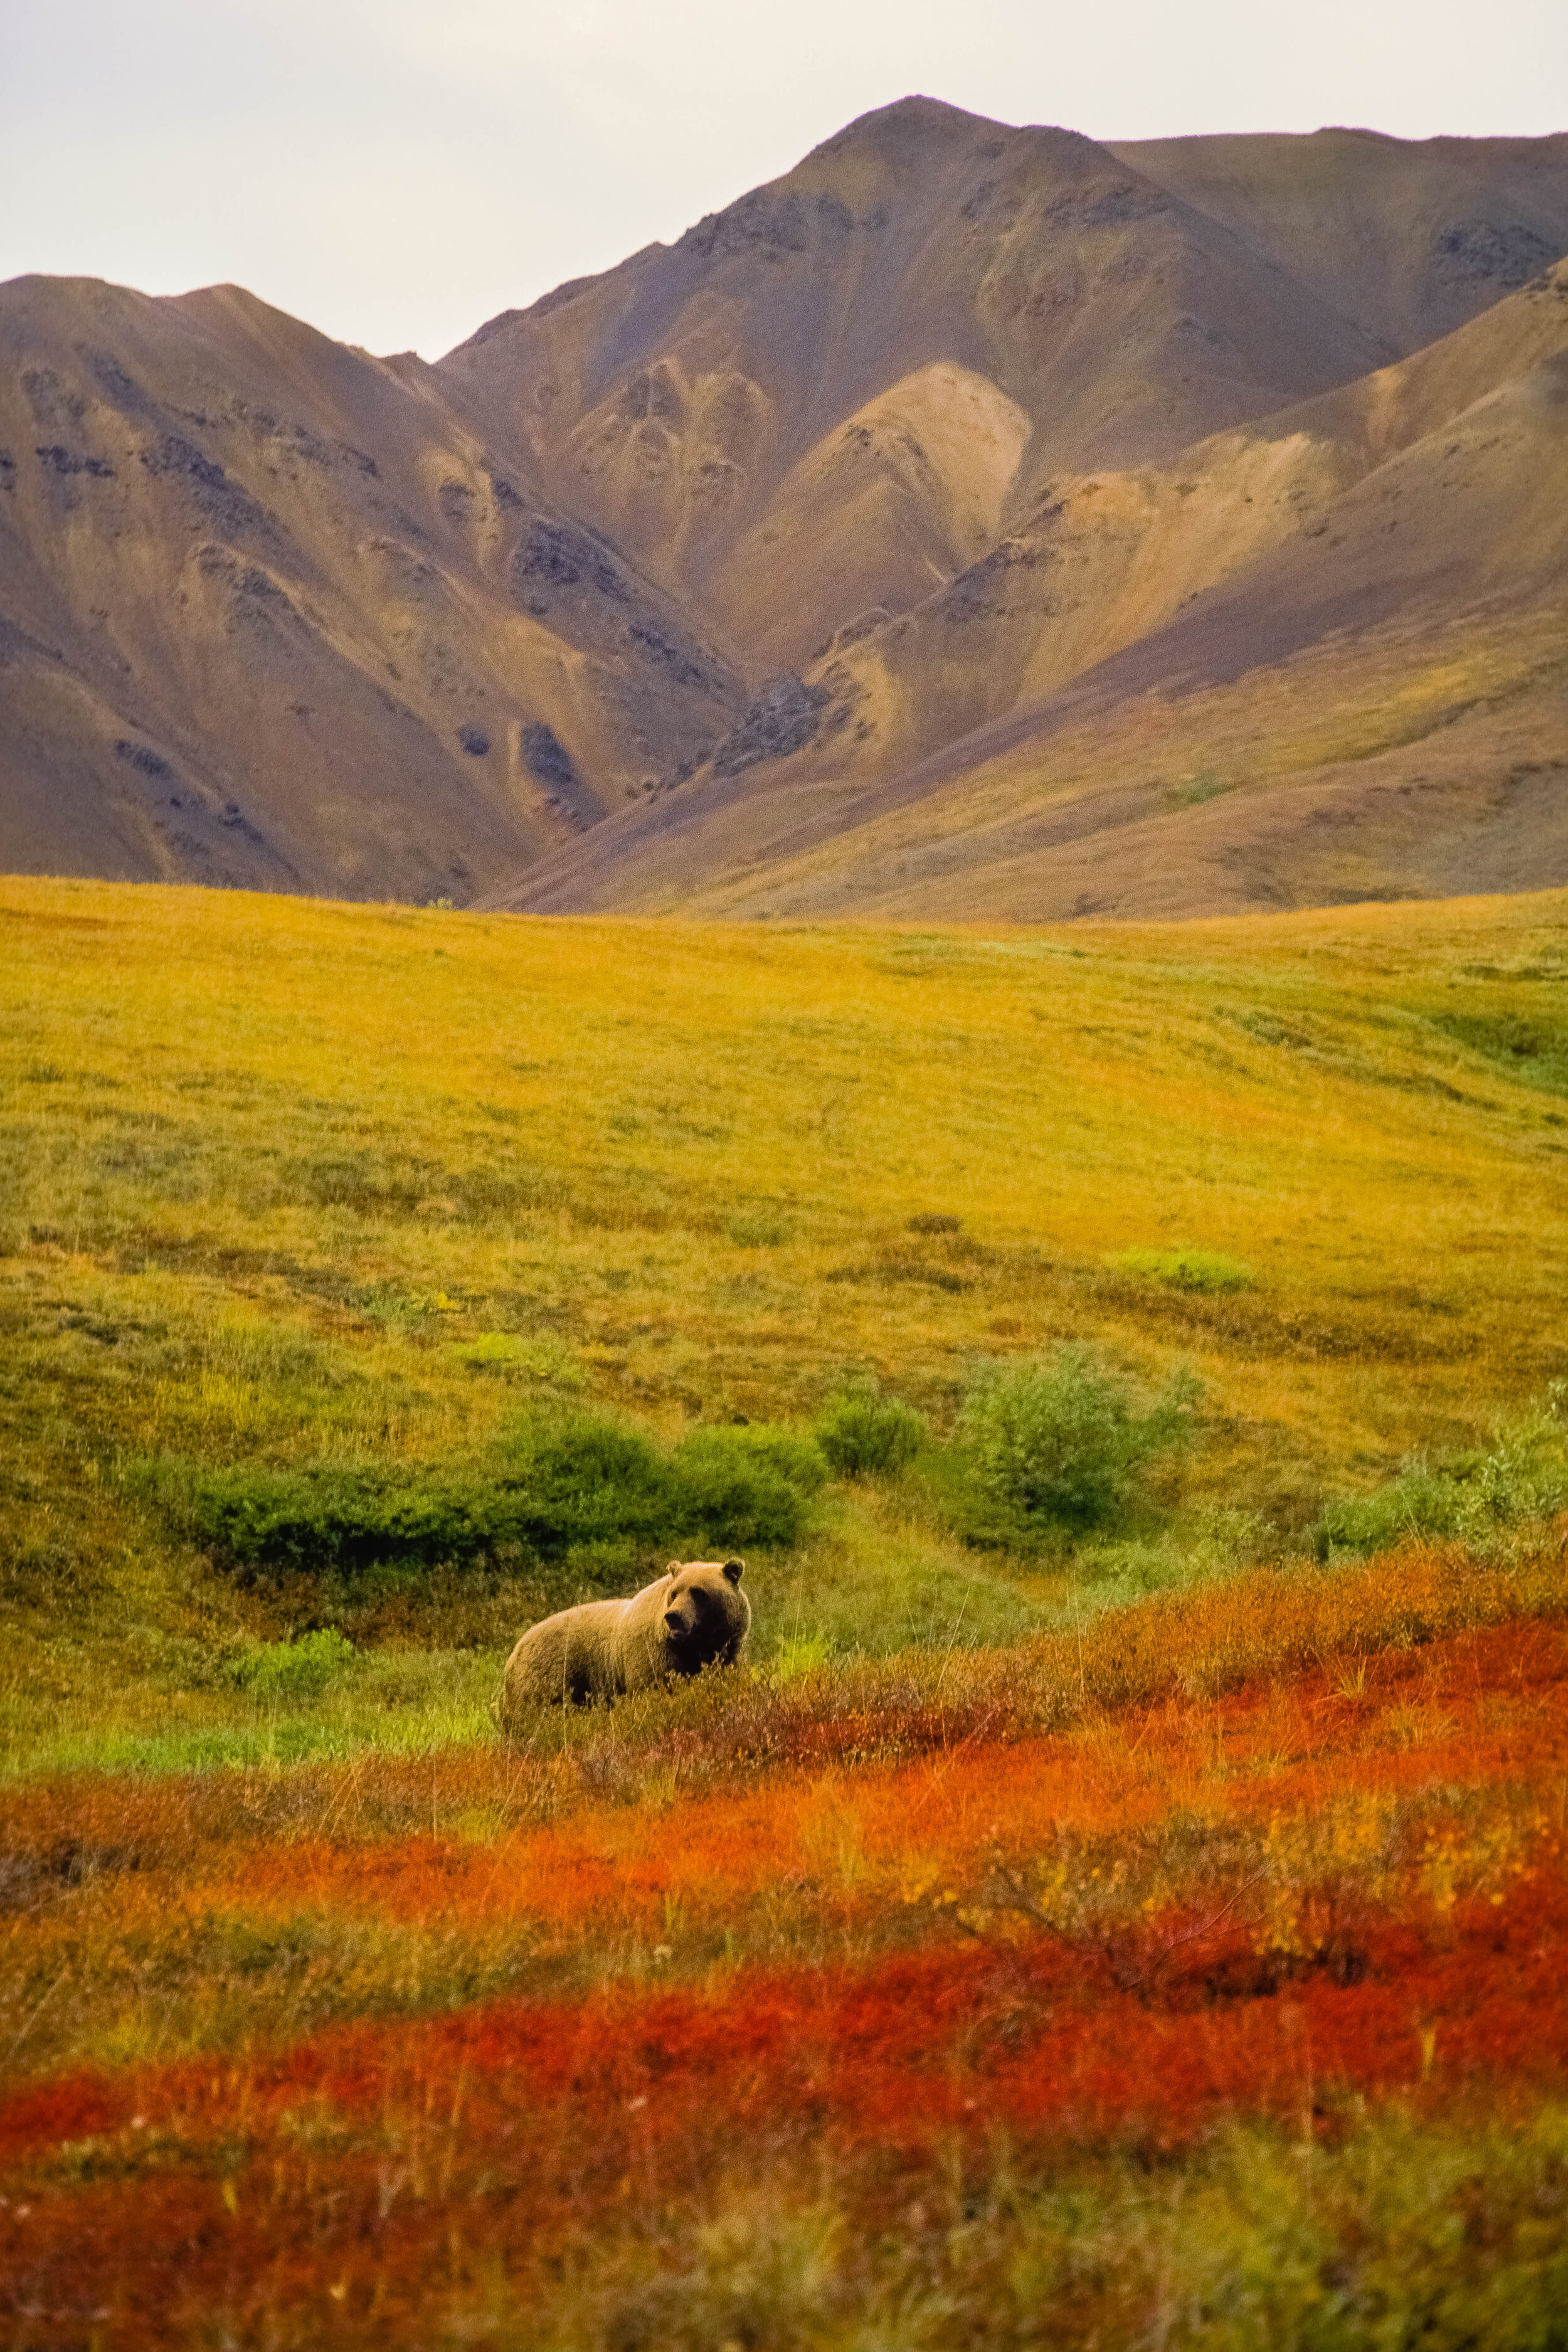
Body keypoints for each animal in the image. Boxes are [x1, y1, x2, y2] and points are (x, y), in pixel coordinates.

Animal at [501, 1552, 752, 1722]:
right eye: (675, 1593)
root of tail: (514, 1652)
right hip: (549, 1677)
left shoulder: (725, 1651)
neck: (695, 1645)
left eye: (698, 1593)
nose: (674, 1617)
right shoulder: (653, 1654)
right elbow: (654, 1690)